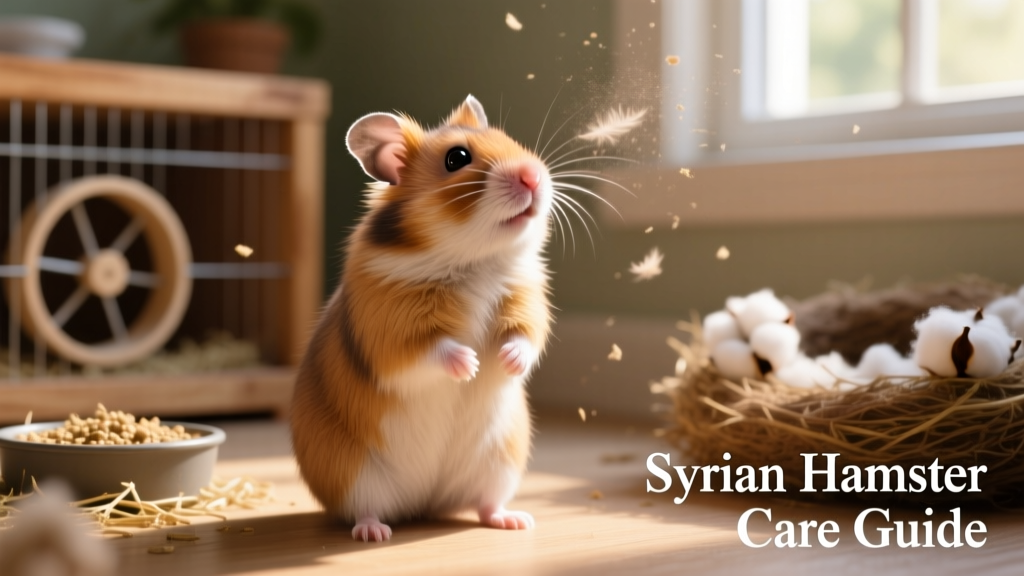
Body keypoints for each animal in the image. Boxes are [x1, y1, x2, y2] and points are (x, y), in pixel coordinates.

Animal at [290, 95, 554, 542]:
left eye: (507, 138)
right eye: (457, 158)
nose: (534, 176)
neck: (473, 262)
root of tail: (423, 503)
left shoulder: (526, 303)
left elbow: (524, 338)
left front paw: (505, 362)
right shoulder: (390, 329)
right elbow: (430, 350)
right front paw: (470, 365)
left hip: (500, 462)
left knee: (485, 503)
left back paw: (516, 521)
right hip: (353, 472)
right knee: (364, 509)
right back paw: (374, 533)